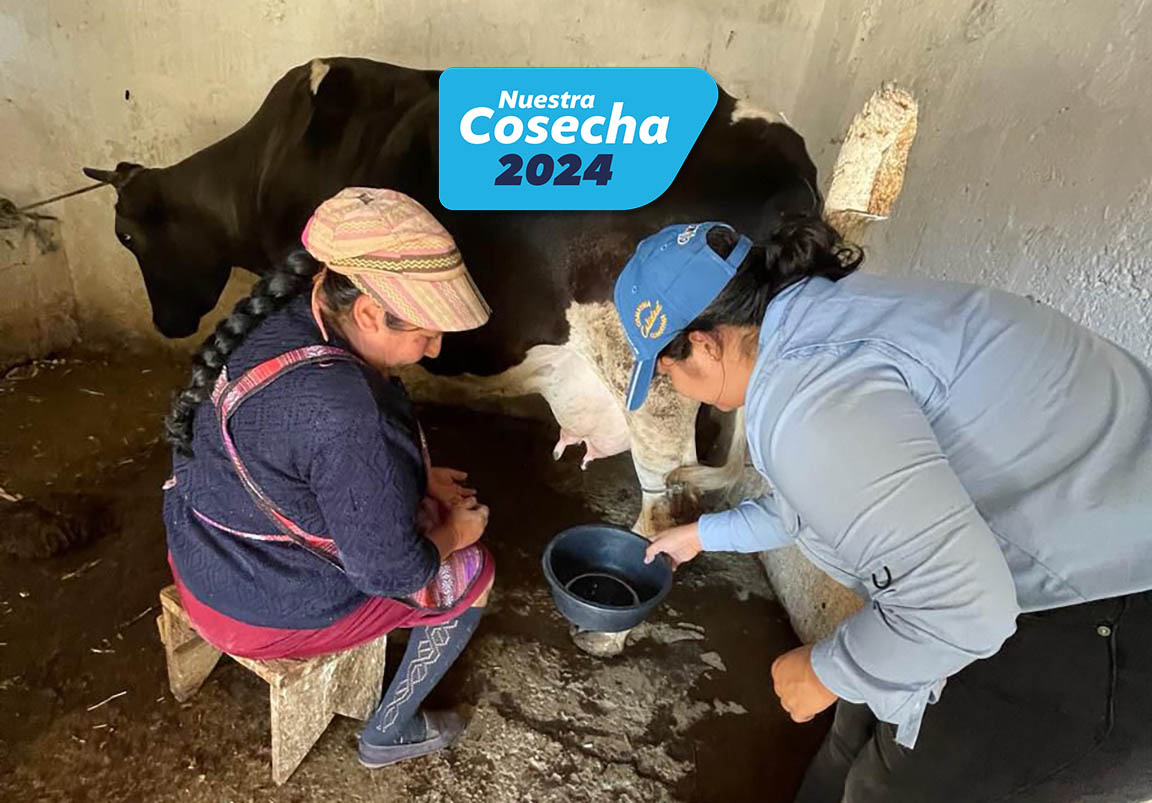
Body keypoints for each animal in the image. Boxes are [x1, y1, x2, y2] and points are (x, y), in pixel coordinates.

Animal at [83, 57, 824, 535]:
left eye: (125, 234)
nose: (166, 321)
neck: (266, 161)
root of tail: (784, 159)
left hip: (653, 369)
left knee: (667, 489)